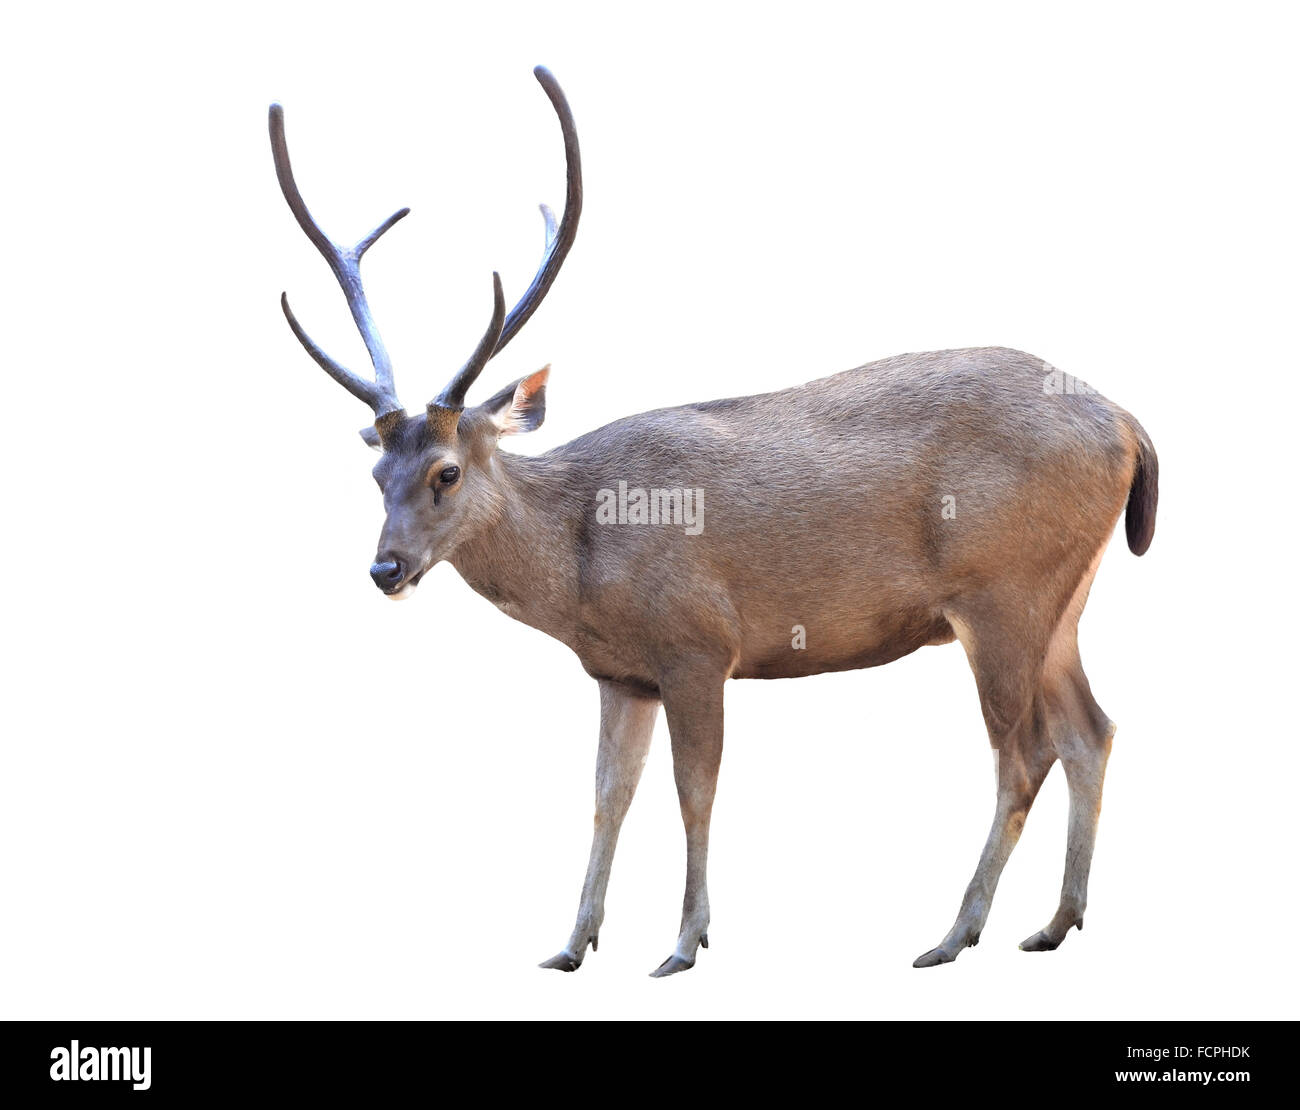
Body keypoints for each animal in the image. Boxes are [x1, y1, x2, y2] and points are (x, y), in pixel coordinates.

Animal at [266, 65, 1159, 977]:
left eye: (445, 471)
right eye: (375, 474)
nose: (385, 568)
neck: (583, 563)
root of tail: (1129, 425)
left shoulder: (697, 642)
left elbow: (694, 792)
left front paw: (685, 942)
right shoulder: (619, 671)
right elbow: (607, 798)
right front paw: (572, 943)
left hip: (1002, 591)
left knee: (1025, 751)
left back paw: (953, 933)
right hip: (1063, 599)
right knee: (1093, 730)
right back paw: (1055, 921)